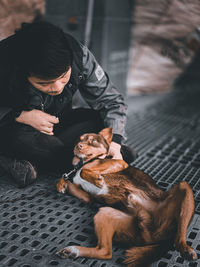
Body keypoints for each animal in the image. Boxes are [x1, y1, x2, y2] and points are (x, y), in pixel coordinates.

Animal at [55, 129, 198, 266]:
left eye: (93, 141)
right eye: (78, 140)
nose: (78, 146)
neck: (83, 162)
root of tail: (158, 237)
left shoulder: (119, 163)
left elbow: (85, 172)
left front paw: (96, 179)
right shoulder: (87, 197)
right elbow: (66, 179)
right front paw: (61, 185)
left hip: (184, 187)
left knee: (180, 235)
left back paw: (186, 249)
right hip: (105, 213)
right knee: (105, 252)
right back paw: (72, 251)